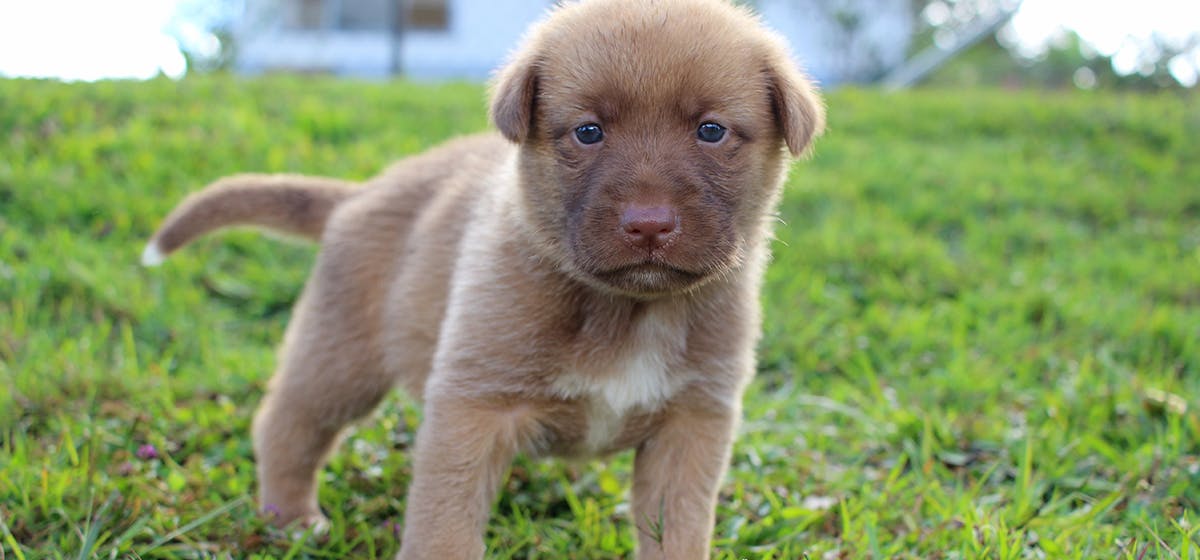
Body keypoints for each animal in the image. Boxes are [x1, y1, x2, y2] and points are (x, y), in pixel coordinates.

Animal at [142, 2, 825, 558]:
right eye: (588, 131)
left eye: (711, 130)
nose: (649, 224)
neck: (626, 309)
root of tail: (358, 194)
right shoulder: (473, 408)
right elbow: (445, 526)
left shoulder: (691, 426)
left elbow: (678, 533)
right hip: (339, 358)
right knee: (287, 424)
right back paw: (289, 518)